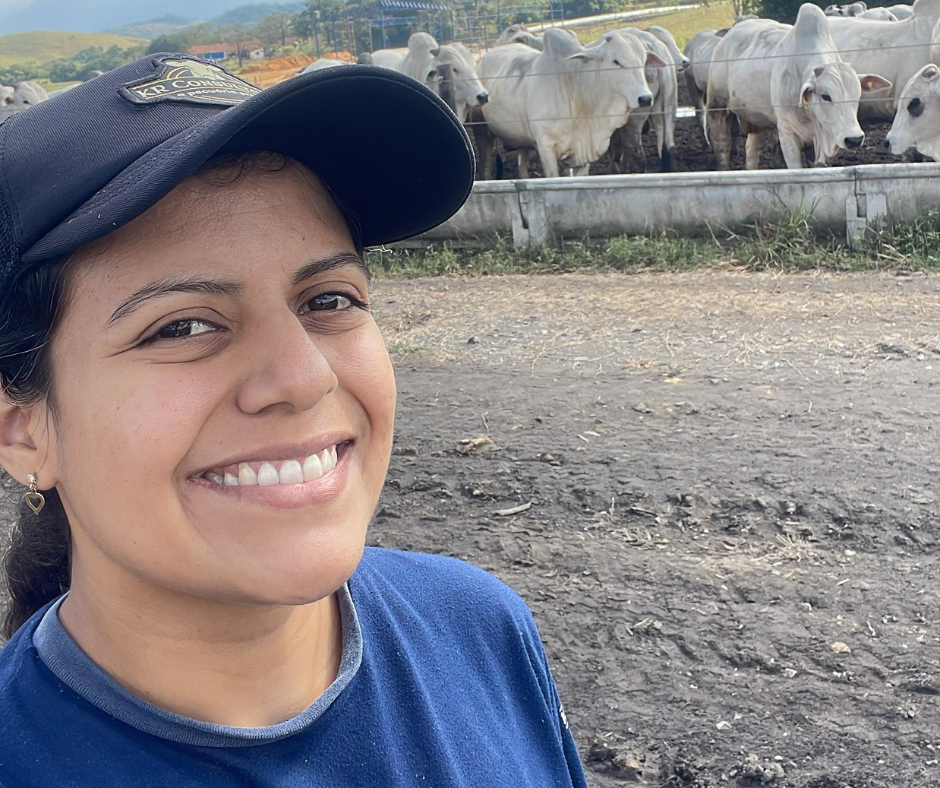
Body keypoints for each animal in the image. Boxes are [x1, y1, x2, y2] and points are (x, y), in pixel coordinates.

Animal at [712, 5, 888, 168]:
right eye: (826, 96)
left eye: (857, 95)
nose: (854, 139)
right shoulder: (786, 132)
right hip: (717, 103)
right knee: (721, 142)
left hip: (756, 119)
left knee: (752, 151)